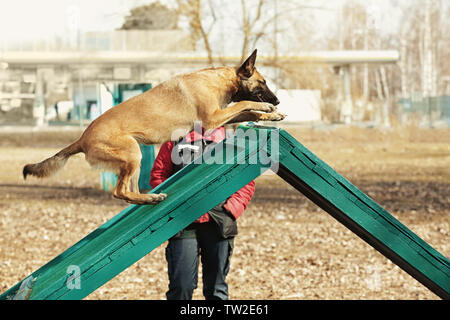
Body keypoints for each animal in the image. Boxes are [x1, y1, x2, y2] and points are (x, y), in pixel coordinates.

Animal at [22, 50, 284, 205]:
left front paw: (273, 115)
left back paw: (148, 197)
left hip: (134, 159)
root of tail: (82, 138)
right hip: (132, 154)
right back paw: (151, 199)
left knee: (130, 192)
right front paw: (268, 108)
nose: (278, 100)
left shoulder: (219, 117)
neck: (218, 81)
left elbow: (247, 111)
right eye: (263, 83)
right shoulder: (213, 118)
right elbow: (244, 103)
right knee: (120, 192)